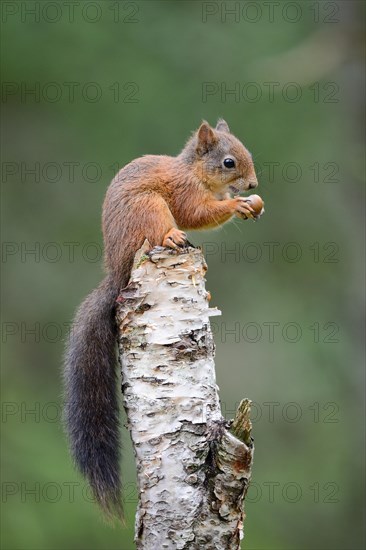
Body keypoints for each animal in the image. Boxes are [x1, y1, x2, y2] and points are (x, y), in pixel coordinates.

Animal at [64, 118, 262, 520]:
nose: (252, 186)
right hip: (149, 208)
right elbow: (196, 214)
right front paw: (235, 204)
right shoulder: (184, 193)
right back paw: (170, 237)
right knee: (164, 228)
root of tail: (119, 271)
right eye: (229, 162)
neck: (194, 172)